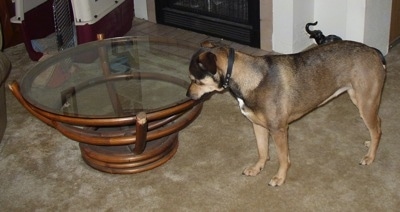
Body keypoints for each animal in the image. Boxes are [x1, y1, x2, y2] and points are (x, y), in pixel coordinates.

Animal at [188, 39, 388, 186]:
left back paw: (370, 156)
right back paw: (370, 143)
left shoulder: (278, 130)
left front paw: (280, 178)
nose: (188, 95)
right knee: (377, 125)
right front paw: (257, 168)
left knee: (377, 128)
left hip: (365, 102)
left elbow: (283, 159)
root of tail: (374, 51)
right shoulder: (258, 126)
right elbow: (262, 151)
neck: (249, 78)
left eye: (196, 80)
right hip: (361, 99)